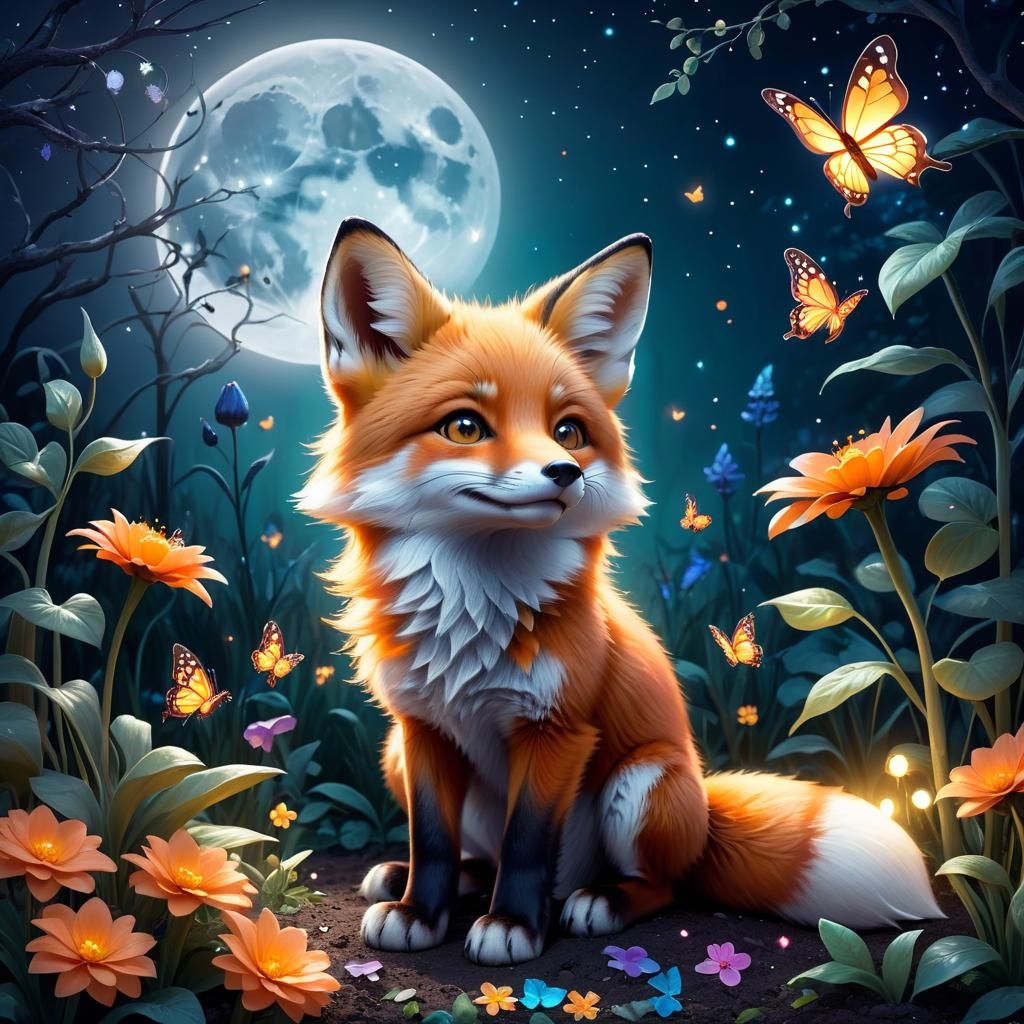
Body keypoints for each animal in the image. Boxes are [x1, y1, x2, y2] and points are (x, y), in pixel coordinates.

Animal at [297, 217, 942, 966]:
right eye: (464, 426)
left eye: (568, 430)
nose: (565, 472)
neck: (471, 616)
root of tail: (703, 811)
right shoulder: (421, 728)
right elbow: (432, 839)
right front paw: (419, 912)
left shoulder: (557, 730)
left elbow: (526, 844)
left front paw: (512, 926)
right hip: (395, 758)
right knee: (474, 854)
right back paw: (434, 880)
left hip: (642, 784)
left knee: (658, 884)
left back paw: (596, 901)